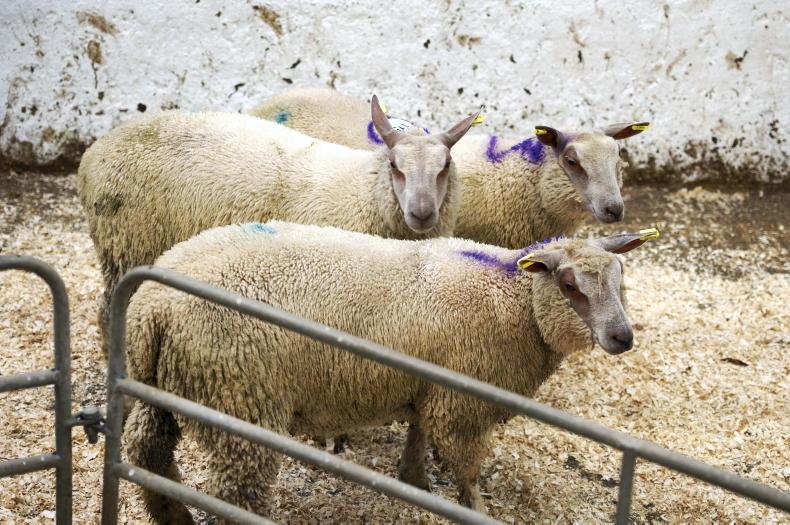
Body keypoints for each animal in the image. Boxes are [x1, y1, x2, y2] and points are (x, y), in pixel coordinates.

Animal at [78, 98, 479, 351]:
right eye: (396, 166)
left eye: (444, 167)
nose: (422, 213)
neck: (361, 188)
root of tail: (93, 152)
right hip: (125, 246)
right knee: (108, 311)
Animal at [123, 220, 658, 521]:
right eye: (569, 284)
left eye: (621, 278)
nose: (623, 337)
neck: (515, 299)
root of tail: (153, 308)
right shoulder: (463, 405)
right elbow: (466, 470)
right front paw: (474, 509)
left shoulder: (430, 386)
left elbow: (418, 434)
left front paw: (414, 481)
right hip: (239, 401)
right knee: (237, 493)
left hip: (165, 387)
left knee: (146, 451)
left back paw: (172, 515)